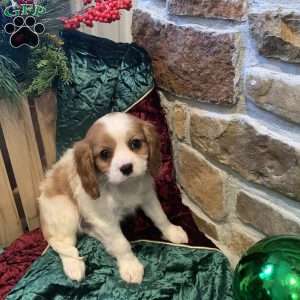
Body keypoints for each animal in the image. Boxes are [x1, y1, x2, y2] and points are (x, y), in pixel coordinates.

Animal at [37, 112, 188, 284]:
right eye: (105, 154)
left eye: (135, 143)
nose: (126, 167)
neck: (124, 186)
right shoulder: (105, 220)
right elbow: (121, 243)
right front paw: (130, 266)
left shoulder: (148, 197)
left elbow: (160, 217)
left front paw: (172, 232)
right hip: (66, 211)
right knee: (63, 244)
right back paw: (73, 266)